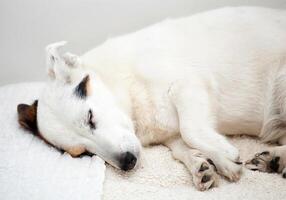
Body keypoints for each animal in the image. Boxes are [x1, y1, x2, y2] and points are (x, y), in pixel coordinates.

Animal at [16, 6, 286, 191]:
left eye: (90, 117)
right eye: (83, 154)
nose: (127, 162)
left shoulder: (187, 86)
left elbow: (191, 130)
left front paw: (225, 154)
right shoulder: (171, 133)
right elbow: (181, 148)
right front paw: (207, 164)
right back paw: (274, 159)